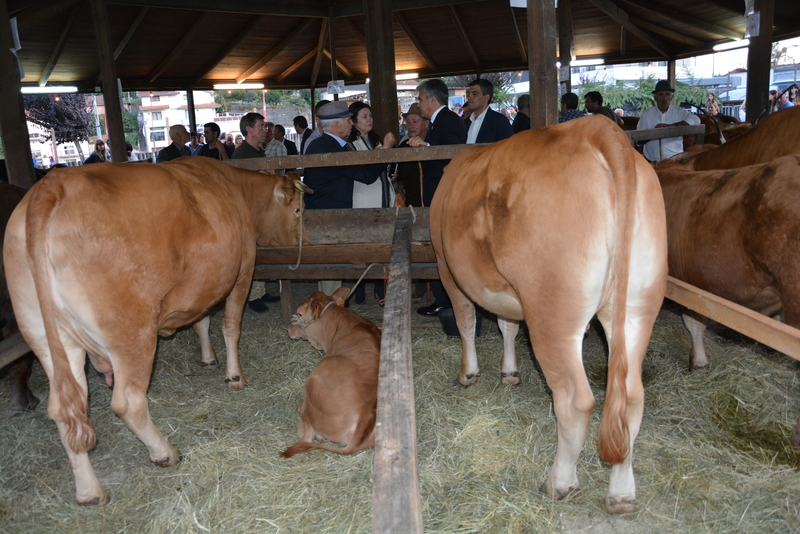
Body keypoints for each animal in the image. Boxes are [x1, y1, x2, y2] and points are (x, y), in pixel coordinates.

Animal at [3, 158, 310, 506]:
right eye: (298, 210)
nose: (306, 241)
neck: (235, 188)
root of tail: (52, 185)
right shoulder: (242, 272)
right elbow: (230, 326)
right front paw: (234, 376)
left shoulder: (202, 287)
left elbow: (200, 321)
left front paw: (208, 358)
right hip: (131, 335)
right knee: (128, 403)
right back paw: (164, 452)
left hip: (46, 338)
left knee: (65, 410)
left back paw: (90, 492)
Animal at [432, 116, 668, 516]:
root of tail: (598, 130)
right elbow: (507, 324)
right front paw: (509, 372)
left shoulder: (448, 269)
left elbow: (466, 320)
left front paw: (469, 373)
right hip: (638, 308)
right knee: (632, 398)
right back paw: (621, 493)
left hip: (553, 314)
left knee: (575, 401)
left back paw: (559, 482)